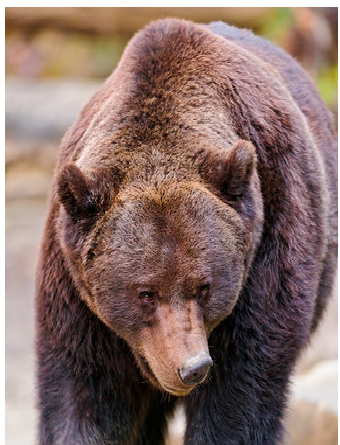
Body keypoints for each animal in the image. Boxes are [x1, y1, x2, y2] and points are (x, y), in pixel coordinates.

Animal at [35, 18, 336, 444]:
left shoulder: (270, 242)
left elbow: (240, 393)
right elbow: (84, 394)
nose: (192, 367)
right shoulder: (75, 289)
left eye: (204, 286)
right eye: (145, 292)